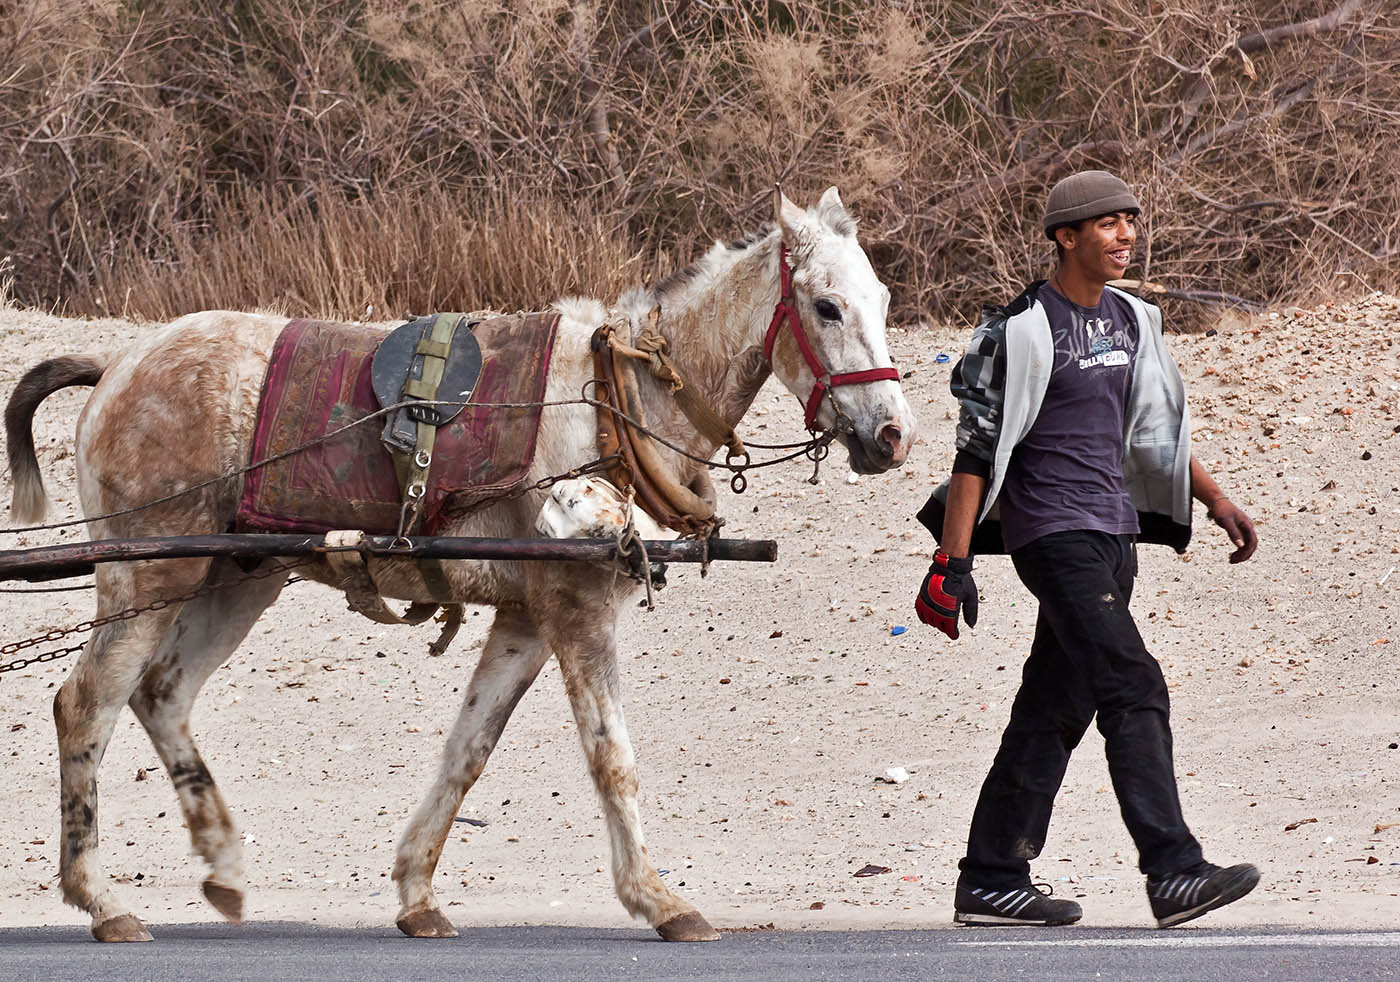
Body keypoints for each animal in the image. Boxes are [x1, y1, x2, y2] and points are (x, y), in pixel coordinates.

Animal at [8, 186, 918, 941]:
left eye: (880, 301)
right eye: (826, 306)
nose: (893, 435)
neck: (613, 401)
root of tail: (119, 364)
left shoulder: (525, 617)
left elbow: (467, 751)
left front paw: (417, 893)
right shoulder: (577, 610)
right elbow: (611, 756)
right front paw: (659, 899)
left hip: (238, 576)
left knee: (162, 693)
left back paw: (224, 862)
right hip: (147, 573)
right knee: (87, 704)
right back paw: (102, 901)